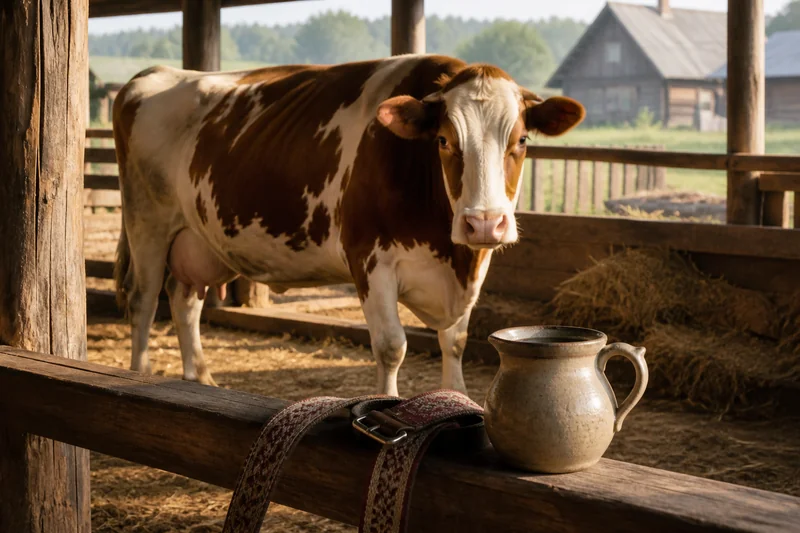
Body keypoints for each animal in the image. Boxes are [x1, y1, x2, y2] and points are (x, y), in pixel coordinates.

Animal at [112, 54, 584, 396]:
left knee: (184, 299)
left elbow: (455, 342)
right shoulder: (369, 259)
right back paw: (138, 376)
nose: (484, 224)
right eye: (444, 140)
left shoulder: (470, 268)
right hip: (146, 220)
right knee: (143, 300)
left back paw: (200, 380)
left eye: (521, 140)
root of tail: (154, 75)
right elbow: (392, 347)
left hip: (197, 239)